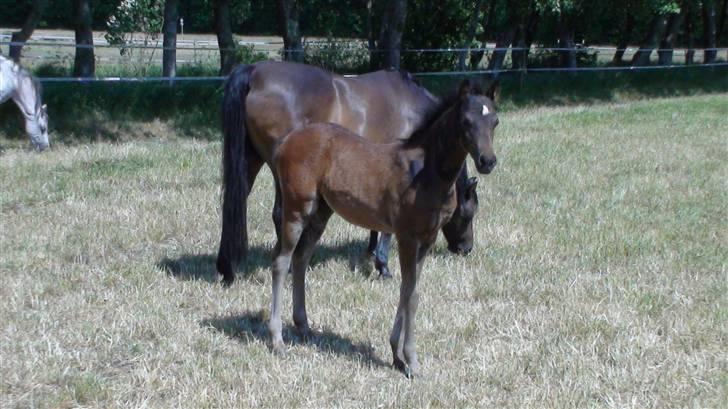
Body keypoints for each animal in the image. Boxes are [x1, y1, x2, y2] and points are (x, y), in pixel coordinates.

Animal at [217, 61, 479, 285]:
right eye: (469, 213)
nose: (466, 248)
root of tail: (254, 72)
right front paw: (383, 266)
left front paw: (372, 252)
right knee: (281, 214)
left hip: (251, 160)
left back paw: (227, 270)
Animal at [268, 80, 499, 377]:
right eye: (466, 122)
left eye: (495, 121)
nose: (487, 161)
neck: (426, 172)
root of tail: (287, 141)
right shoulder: (407, 236)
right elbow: (412, 295)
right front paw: (412, 361)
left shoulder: (427, 238)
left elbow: (407, 289)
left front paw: (396, 355)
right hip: (297, 208)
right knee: (281, 262)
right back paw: (277, 340)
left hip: (321, 212)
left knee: (301, 258)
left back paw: (304, 327)